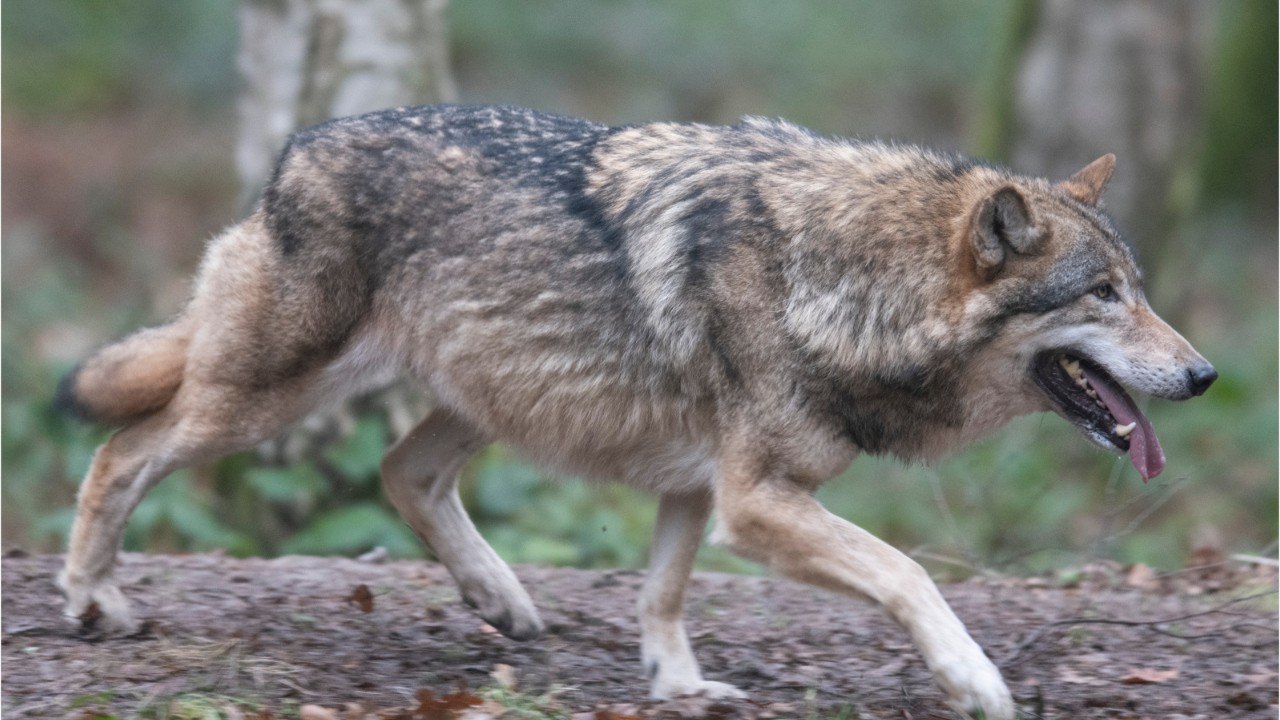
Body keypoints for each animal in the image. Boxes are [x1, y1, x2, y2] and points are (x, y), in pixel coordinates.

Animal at [56, 104, 1215, 718]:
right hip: (261, 402)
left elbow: (662, 592)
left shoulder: (699, 484)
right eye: (1101, 295)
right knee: (121, 451)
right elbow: (908, 574)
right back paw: (92, 600)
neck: (844, 281)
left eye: (1139, 289)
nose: (1203, 375)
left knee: (402, 472)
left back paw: (503, 600)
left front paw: (679, 686)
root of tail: (295, 150)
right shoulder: (756, 500)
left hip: (487, 399)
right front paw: (973, 679)